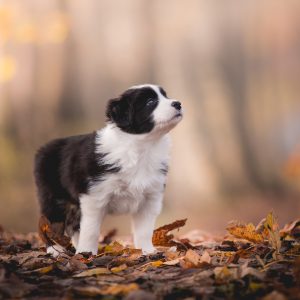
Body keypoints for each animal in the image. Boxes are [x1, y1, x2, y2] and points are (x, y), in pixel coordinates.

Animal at [34, 84, 182, 255]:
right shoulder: (94, 196)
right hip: (53, 197)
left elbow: (144, 230)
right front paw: (87, 253)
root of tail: (43, 149)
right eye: (150, 102)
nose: (178, 104)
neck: (142, 148)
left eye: (166, 96)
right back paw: (55, 250)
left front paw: (147, 251)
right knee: (49, 224)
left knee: (73, 225)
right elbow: (91, 230)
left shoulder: (150, 198)